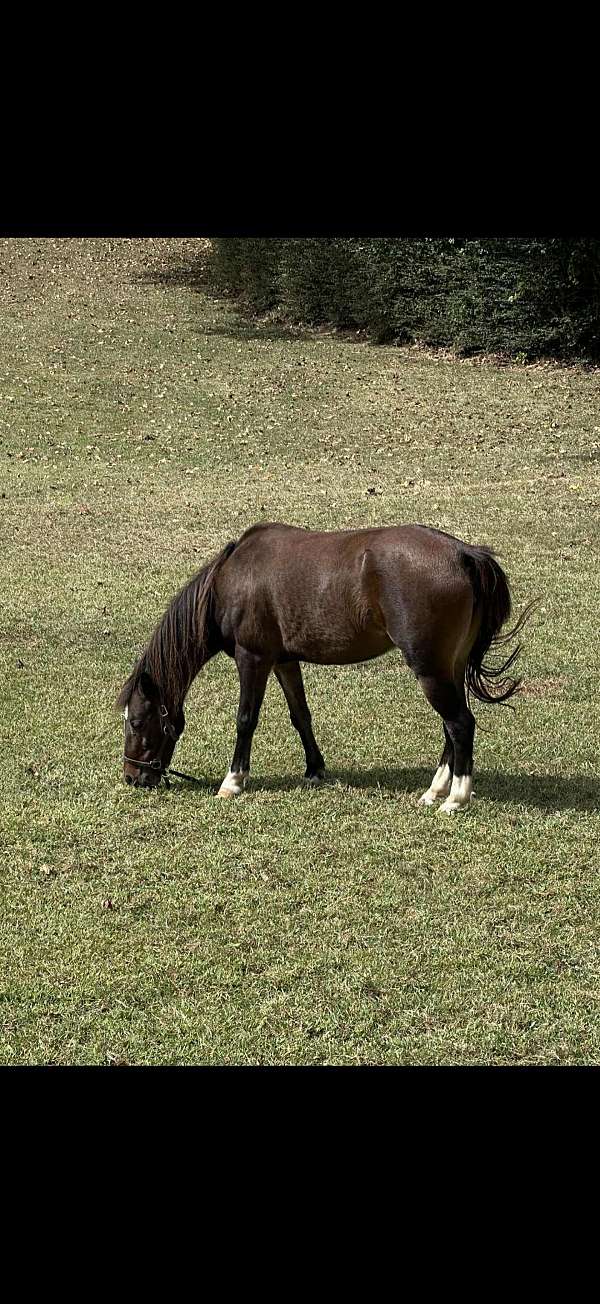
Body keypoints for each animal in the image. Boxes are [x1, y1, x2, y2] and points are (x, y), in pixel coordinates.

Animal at [117, 521, 533, 813]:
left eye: (136, 721)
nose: (133, 777)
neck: (230, 580)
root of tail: (463, 553)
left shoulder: (254, 659)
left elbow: (246, 719)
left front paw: (233, 782)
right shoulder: (284, 661)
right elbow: (301, 715)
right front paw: (315, 769)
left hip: (430, 669)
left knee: (460, 724)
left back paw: (455, 798)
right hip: (448, 668)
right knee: (452, 726)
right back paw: (435, 790)